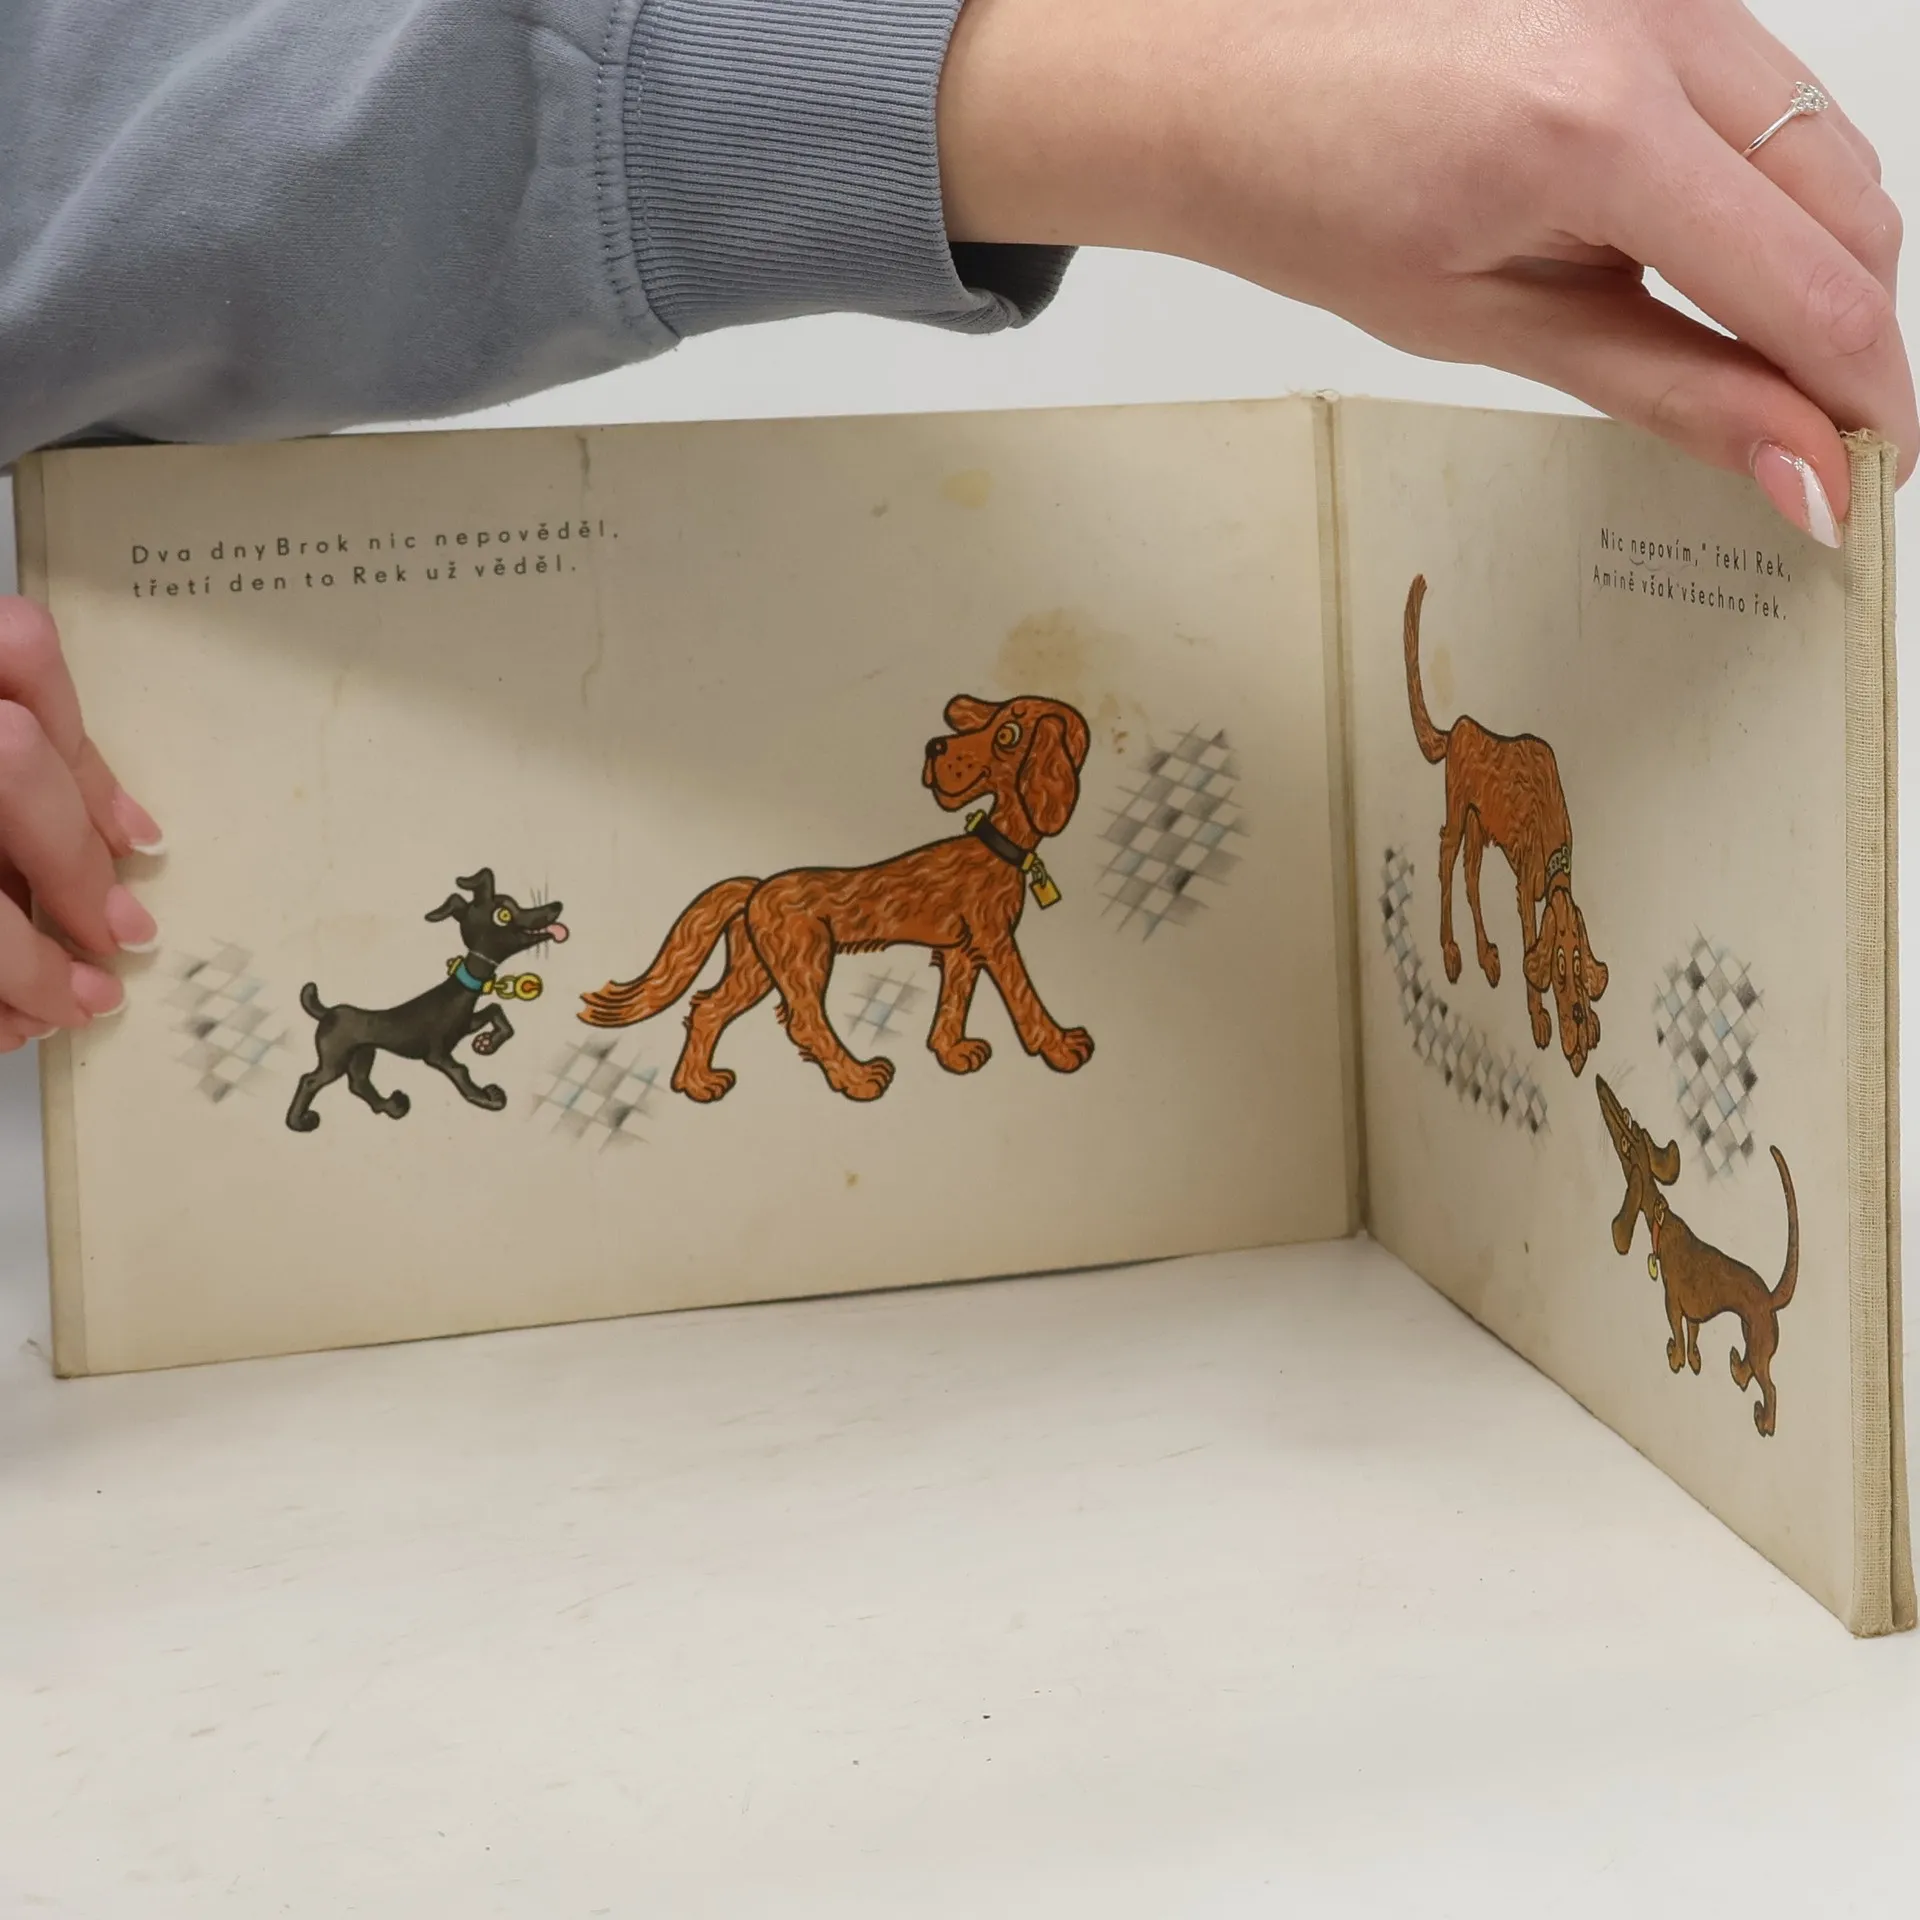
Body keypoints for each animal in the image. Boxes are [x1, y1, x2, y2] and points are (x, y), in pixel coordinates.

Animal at [286, 869, 568, 1132]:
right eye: (503, 914)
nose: (556, 906)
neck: (457, 993)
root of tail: (326, 1012)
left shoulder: (466, 1025)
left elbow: (495, 1009)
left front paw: (487, 1043)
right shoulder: (437, 1054)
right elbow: (461, 1070)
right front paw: (486, 1098)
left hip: (363, 1054)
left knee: (358, 1083)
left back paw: (390, 1106)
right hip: (334, 1059)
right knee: (311, 1080)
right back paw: (298, 1121)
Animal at [579, 695, 1093, 1103]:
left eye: (1006, 733)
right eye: (991, 727)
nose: (935, 747)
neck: (995, 846)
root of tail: (754, 888)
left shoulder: (961, 948)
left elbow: (954, 1001)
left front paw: (953, 1051)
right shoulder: (994, 937)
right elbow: (1023, 994)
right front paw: (1061, 1046)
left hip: (756, 968)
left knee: (708, 1008)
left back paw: (696, 1084)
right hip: (805, 958)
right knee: (803, 1021)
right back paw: (858, 1078)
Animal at [1404, 574, 1608, 1077]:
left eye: (1580, 964)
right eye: (1559, 966)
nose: (1578, 1019)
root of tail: (1458, 728)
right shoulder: (1525, 887)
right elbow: (1528, 945)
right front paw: (1540, 1021)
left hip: (1480, 826)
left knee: (1471, 878)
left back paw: (1486, 958)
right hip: (1458, 812)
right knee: (1446, 862)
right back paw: (1452, 953)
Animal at [1597, 1077, 1799, 1437]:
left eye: (1625, 1142)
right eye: (1629, 1119)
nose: (1600, 1086)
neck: (1660, 1218)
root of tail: (1771, 1297)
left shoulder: (1672, 1303)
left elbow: (1677, 1333)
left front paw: (1676, 1358)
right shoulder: (1692, 1313)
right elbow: (1692, 1334)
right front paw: (1692, 1360)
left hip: (1760, 1340)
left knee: (1771, 1387)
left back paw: (1764, 1421)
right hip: (1751, 1332)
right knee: (1751, 1369)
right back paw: (1736, 1370)